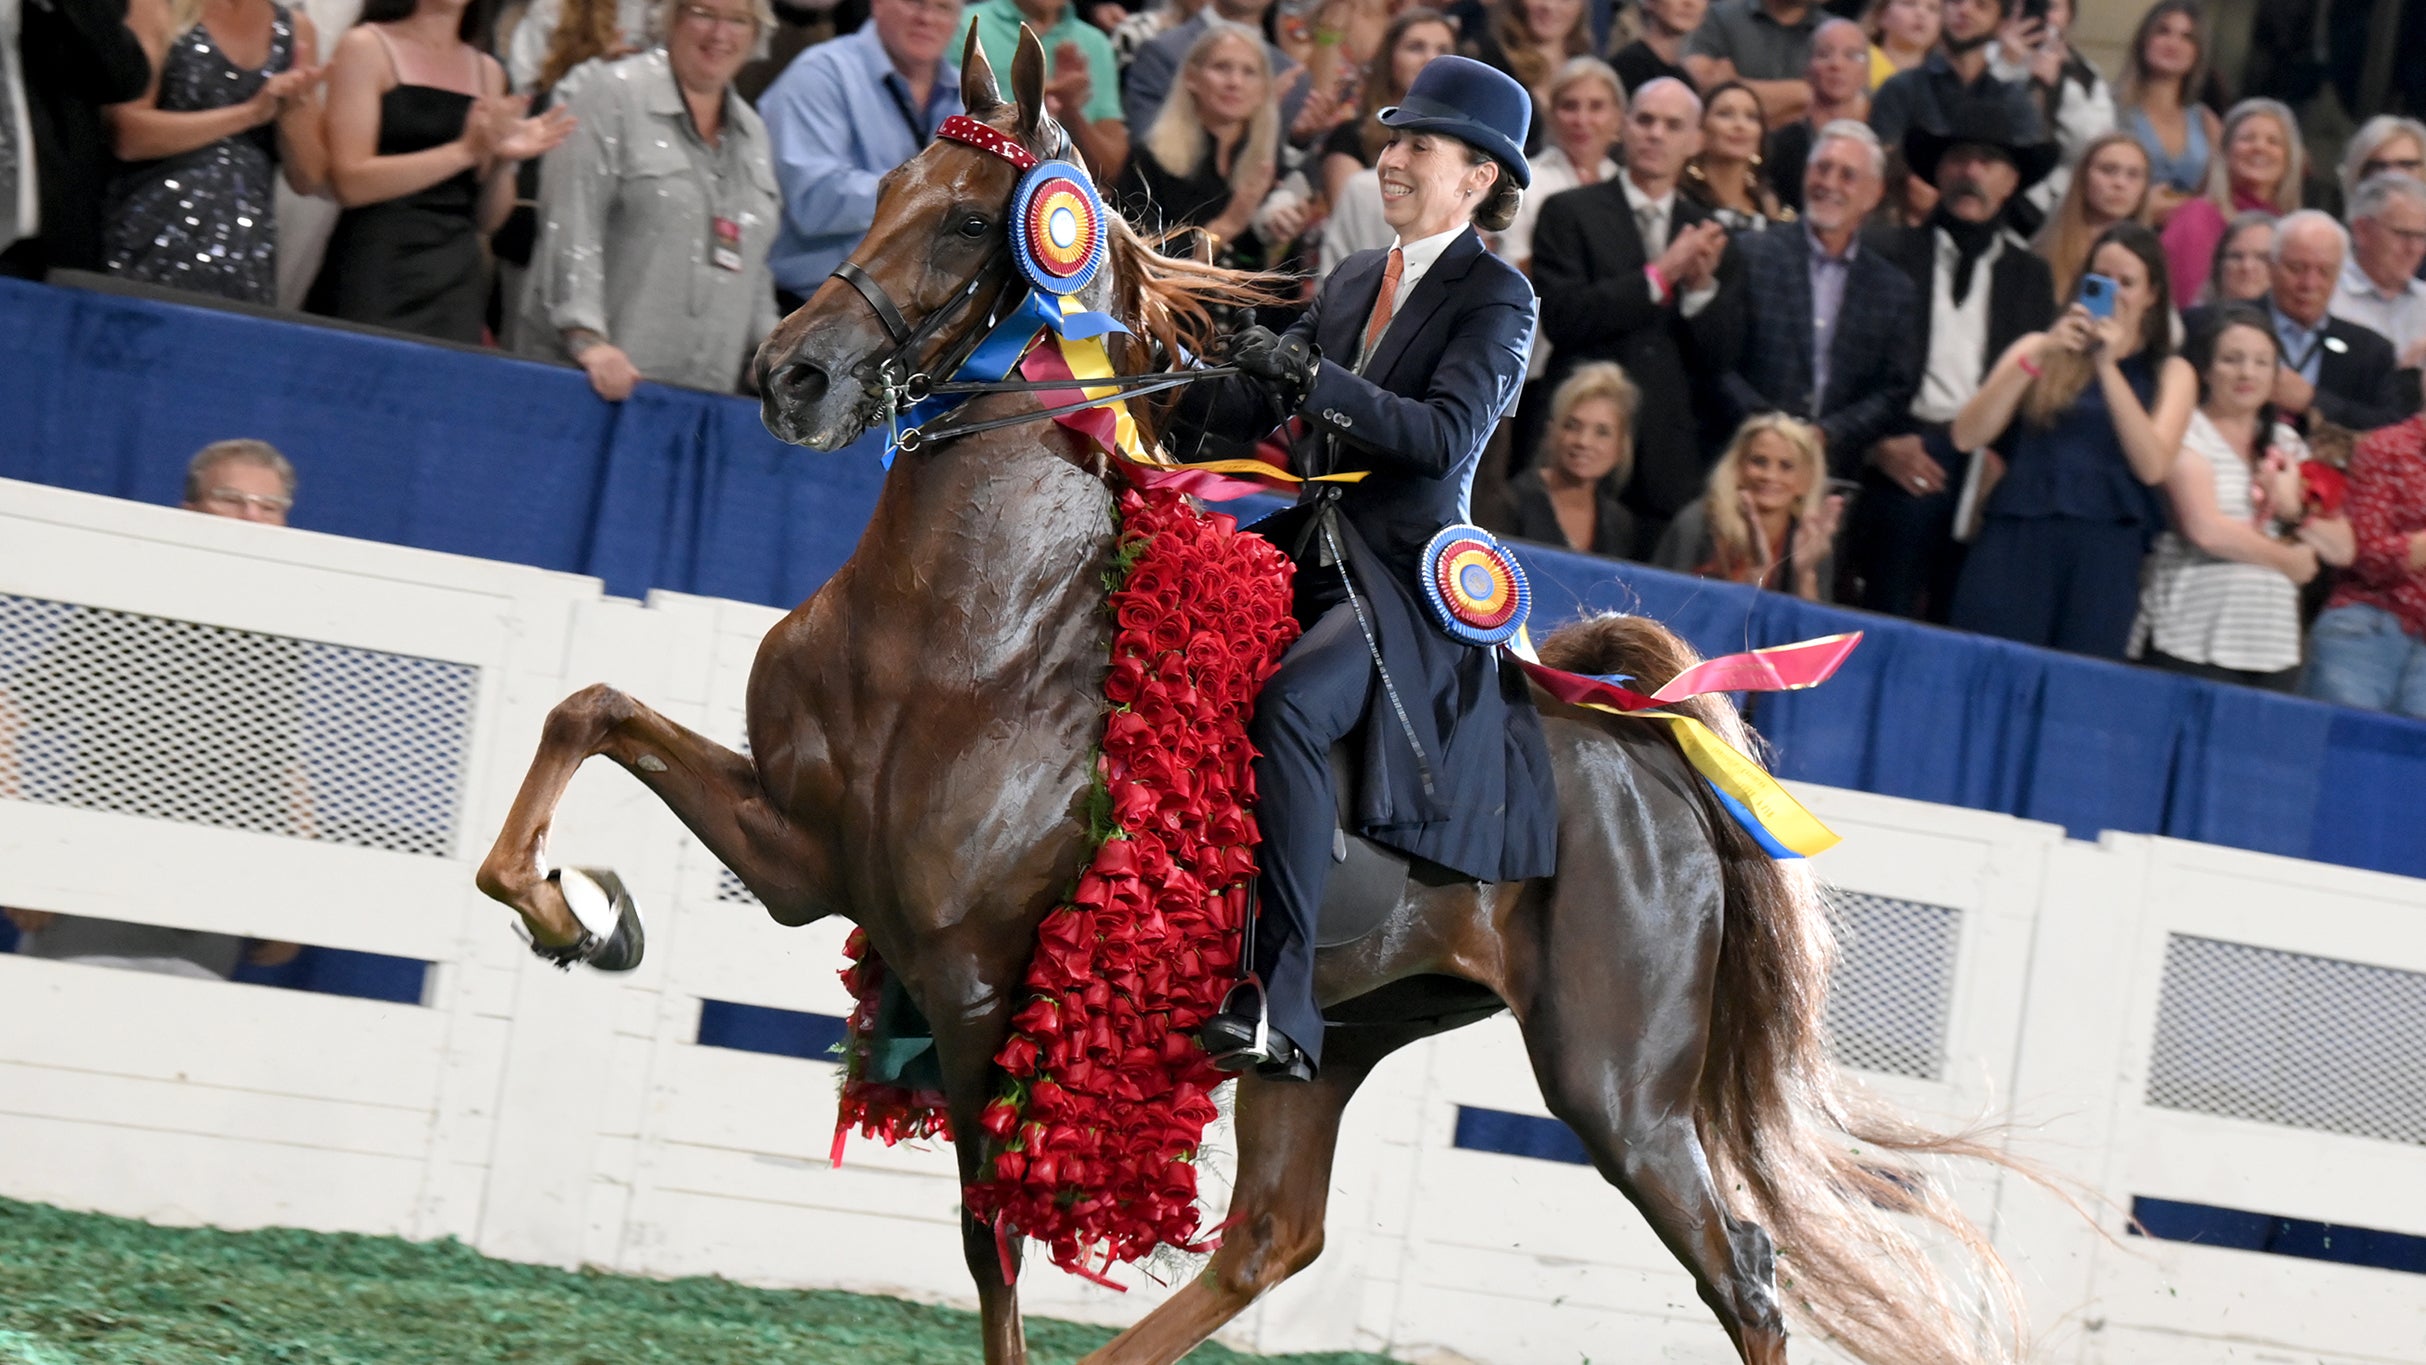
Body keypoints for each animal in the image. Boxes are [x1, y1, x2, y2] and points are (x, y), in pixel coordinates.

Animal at [475, 26, 2030, 1365]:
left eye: (974, 224)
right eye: (881, 187)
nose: (790, 376)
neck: (963, 627)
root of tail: (1642, 753)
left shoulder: (969, 973)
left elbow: (990, 1244)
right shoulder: (807, 860)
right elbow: (587, 710)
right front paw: (574, 911)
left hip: (1615, 1084)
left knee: (1744, 1275)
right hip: (1332, 1033)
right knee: (1273, 1235)